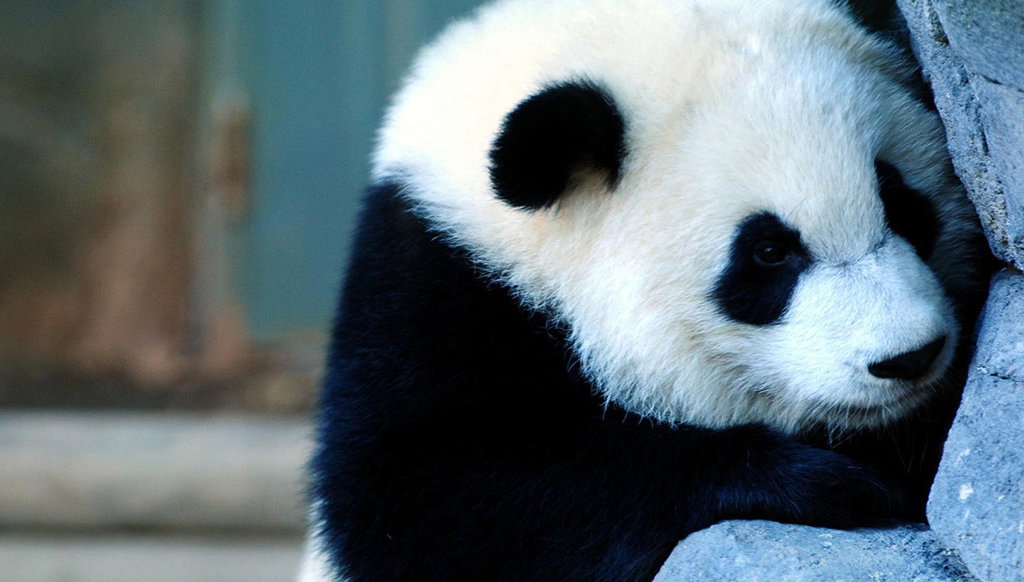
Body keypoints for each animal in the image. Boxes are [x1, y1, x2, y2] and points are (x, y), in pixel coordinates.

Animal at [304, 0, 989, 581]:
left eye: (900, 203)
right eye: (769, 253)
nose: (909, 356)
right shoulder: (433, 287)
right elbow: (416, 500)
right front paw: (828, 482)